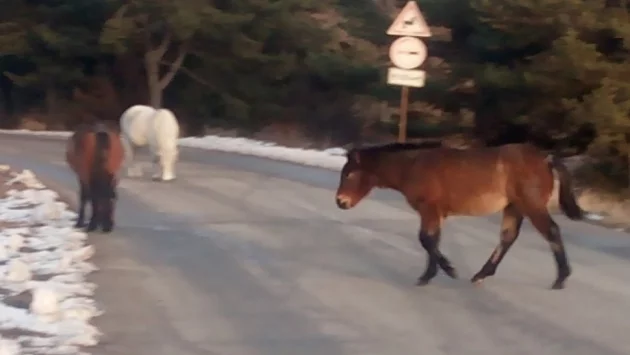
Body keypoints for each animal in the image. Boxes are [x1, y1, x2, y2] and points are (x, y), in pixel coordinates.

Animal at [336, 141, 588, 290]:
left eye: (349, 174)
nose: (340, 202)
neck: (413, 166)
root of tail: (547, 158)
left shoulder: (429, 208)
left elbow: (425, 240)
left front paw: (447, 270)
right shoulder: (436, 213)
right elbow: (432, 240)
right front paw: (429, 274)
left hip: (530, 205)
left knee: (551, 231)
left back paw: (561, 278)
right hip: (514, 207)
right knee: (508, 237)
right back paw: (481, 275)